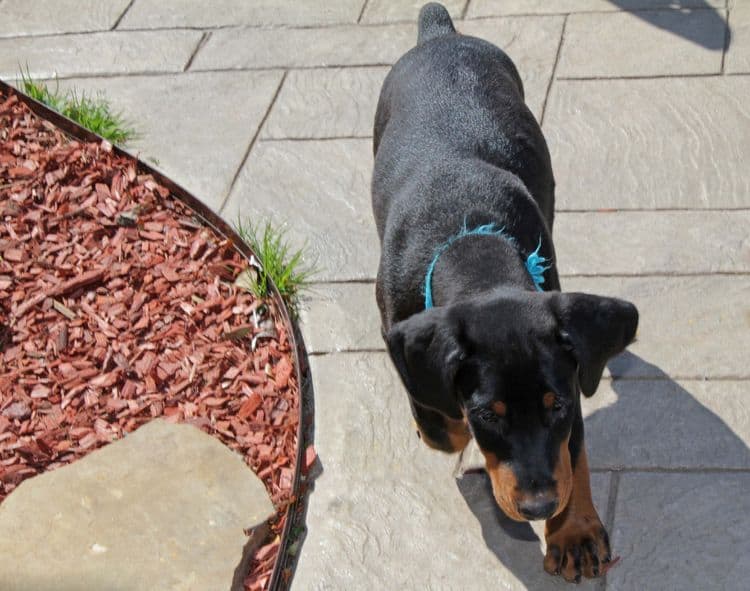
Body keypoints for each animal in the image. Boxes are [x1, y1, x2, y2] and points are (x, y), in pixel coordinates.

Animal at [374, 3, 636, 584]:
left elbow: (571, 451)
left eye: (556, 405)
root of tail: (441, 34)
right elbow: (436, 411)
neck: (472, 241)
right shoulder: (399, 329)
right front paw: (443, 428)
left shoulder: (572, 365)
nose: (539, 508)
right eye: (489, 414)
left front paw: (574, 531)